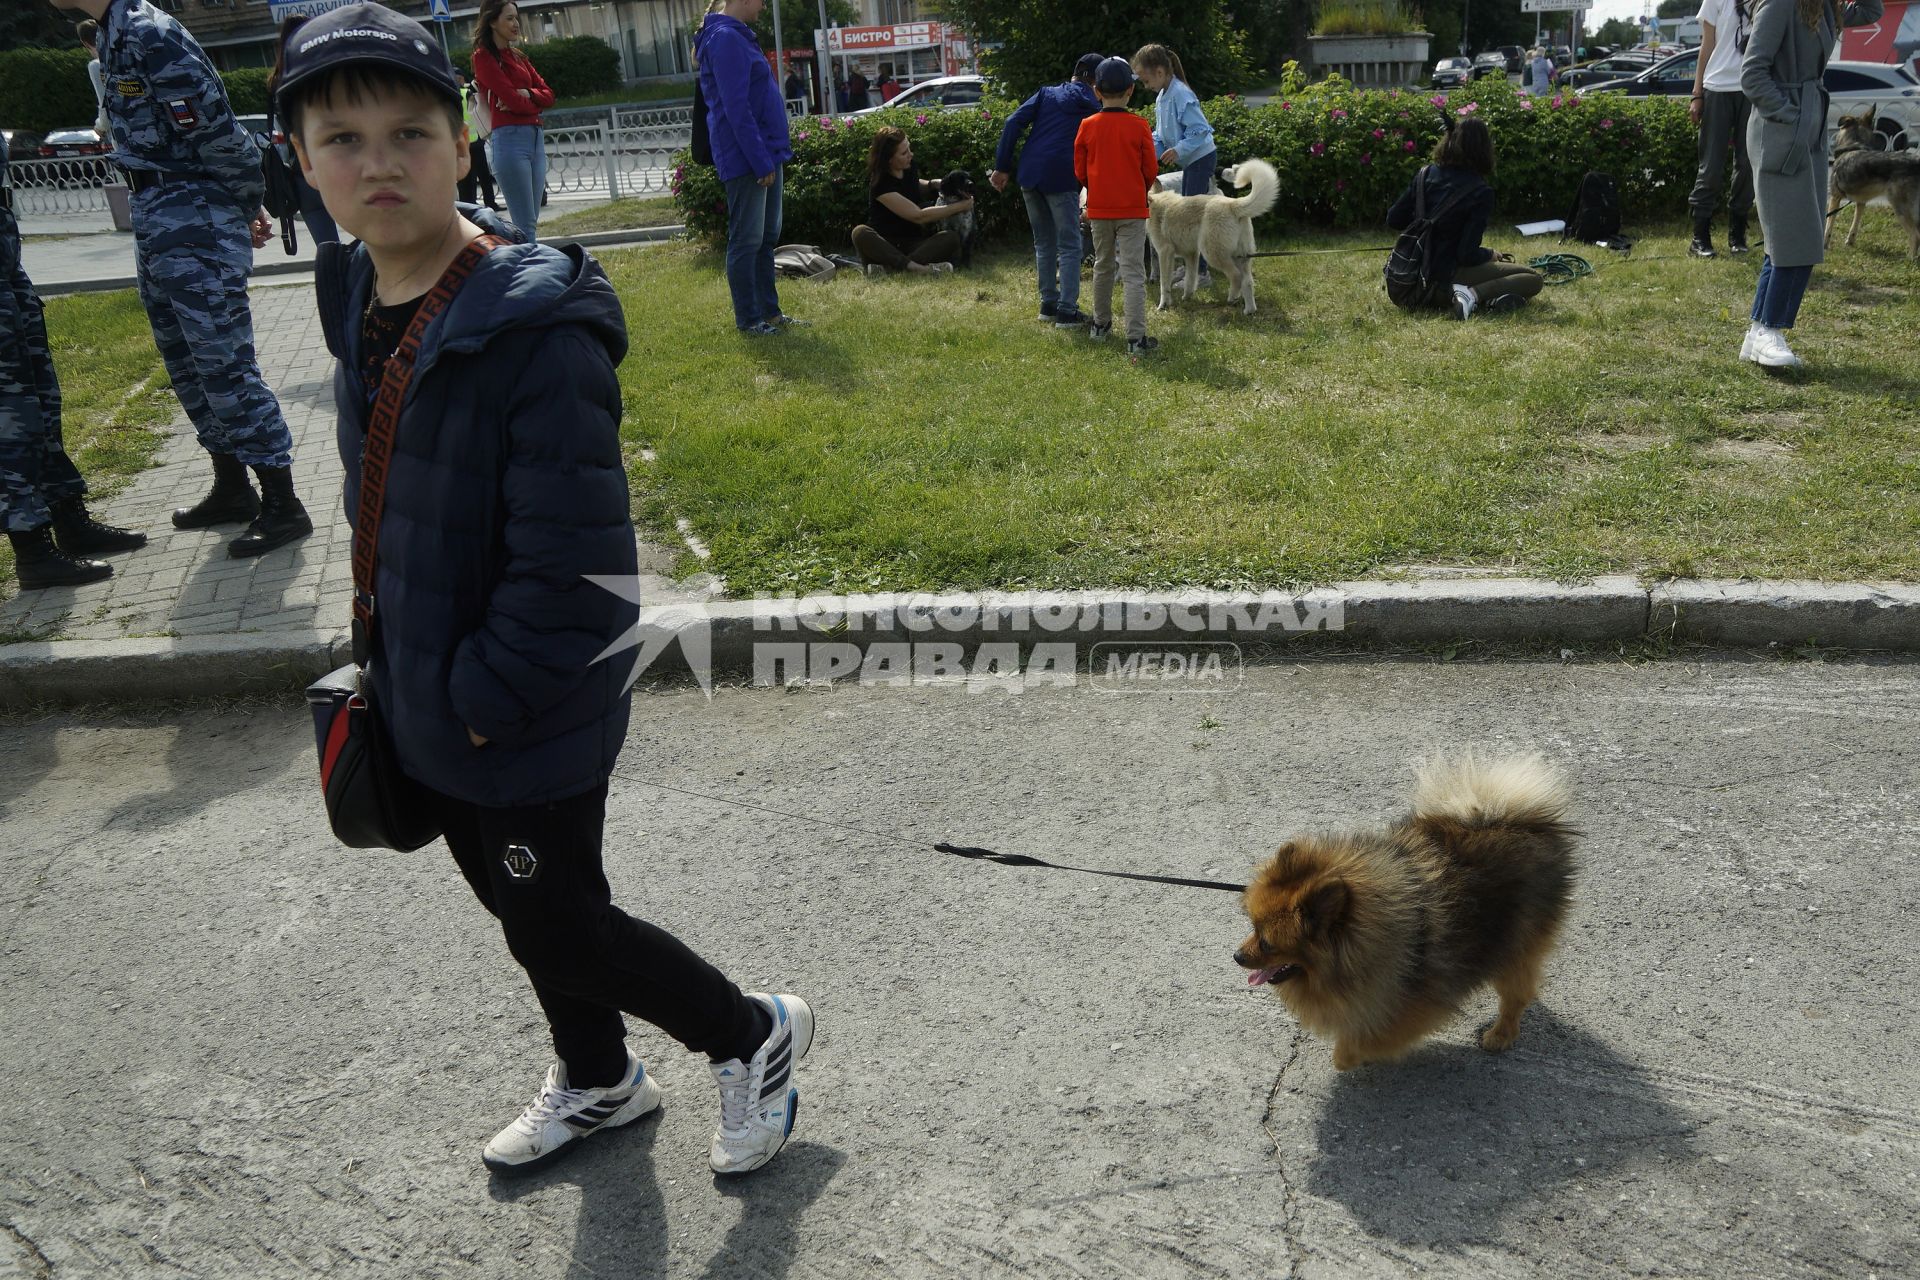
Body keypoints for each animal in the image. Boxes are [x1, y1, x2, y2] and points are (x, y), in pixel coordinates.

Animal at [1244, 752, 1574, 1074]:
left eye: (1267, 943)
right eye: (1253, 927)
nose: (1237, 956)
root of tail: (1519, 821)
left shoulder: (1407, 1007)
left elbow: (1364, 1038)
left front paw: (1348, 1058)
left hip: (1517, 943)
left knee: (1516, 995)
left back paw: (1500, 1035)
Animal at [1827, 108, 1920, 260]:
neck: (1853, 145)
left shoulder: (1835, 198)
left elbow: (1828, 226)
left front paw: (1825, 246)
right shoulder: (1861, 202)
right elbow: (1855, 224)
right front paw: (1850, 241)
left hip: (1900, 207)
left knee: (1915, 235)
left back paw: (1910, 259)